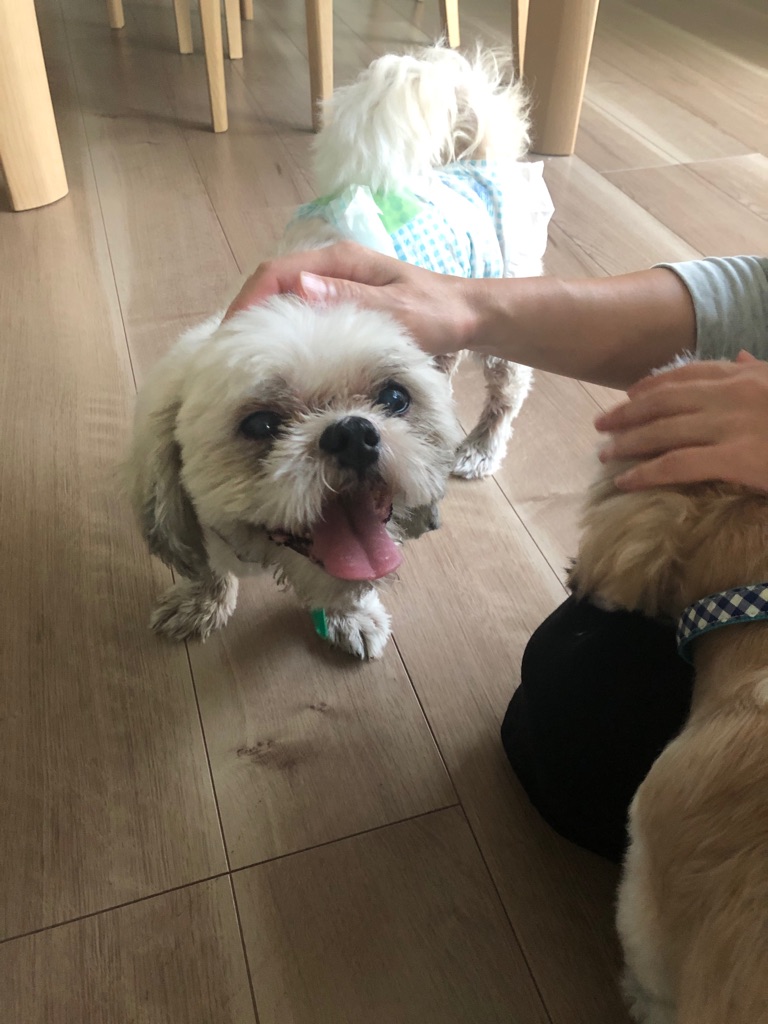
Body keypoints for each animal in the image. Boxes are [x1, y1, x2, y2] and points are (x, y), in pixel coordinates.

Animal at [128, 45, 548, 658]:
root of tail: (472, 162)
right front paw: (202, 600)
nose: (352, 432)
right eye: (260, 424)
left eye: (393, 399)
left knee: (506, 394)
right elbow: (207, 565)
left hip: (496, 315)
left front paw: (350, 616)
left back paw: (478, 448)